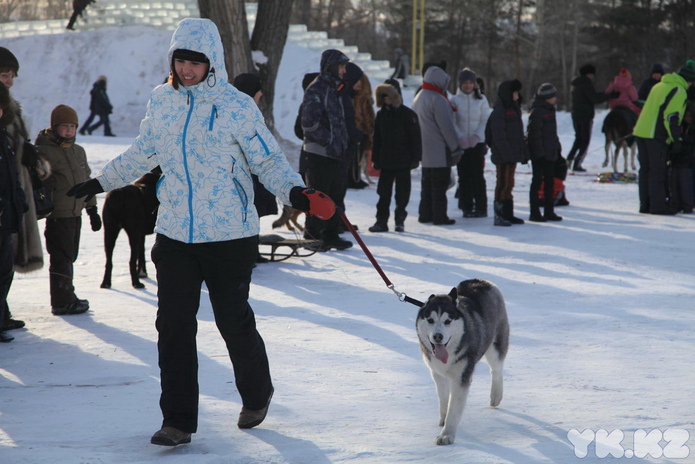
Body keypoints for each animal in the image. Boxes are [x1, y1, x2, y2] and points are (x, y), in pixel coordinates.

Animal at [416, 280, 508, 446]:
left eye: (448, 321)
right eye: (430, 320)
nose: (438, 336)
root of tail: (481, 281)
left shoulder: (461, 377)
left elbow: (454, 409)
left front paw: (446, 434)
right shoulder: (437, 373)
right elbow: (444, 398)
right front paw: (443, 418)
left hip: (496, 345)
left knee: (496, 370)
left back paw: (496, 396)